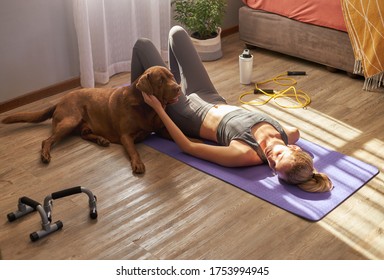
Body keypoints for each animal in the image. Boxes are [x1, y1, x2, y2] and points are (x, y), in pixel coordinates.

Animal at [1, 66, 182, 174]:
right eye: (160, 81)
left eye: (172, 76)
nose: (179, 87)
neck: (145, 107)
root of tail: (59, 101)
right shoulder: (125, 136)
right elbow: (133, 150)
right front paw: (137, 163)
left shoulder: (161, 129)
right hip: (70, 120)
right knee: (47, 140)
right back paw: (45, 155)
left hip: (81, 125)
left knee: (84, 134)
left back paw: (101, 140)